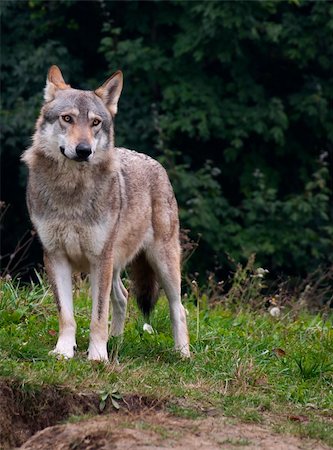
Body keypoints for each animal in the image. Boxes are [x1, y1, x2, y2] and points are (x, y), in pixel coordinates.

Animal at [22, 65, 189, 360]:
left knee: (178, 308)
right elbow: (67, 315)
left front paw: (97, 356)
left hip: (160, 261)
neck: (71, 192)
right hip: (115, 265)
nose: (84, 150)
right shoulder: (56, 256)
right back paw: (117, 342)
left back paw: (183, 354)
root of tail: (155, 163)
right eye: (67, 118)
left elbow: (98, 315)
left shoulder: (100, 258)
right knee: (122, 297)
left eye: (96, 123)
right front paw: (64, 351)